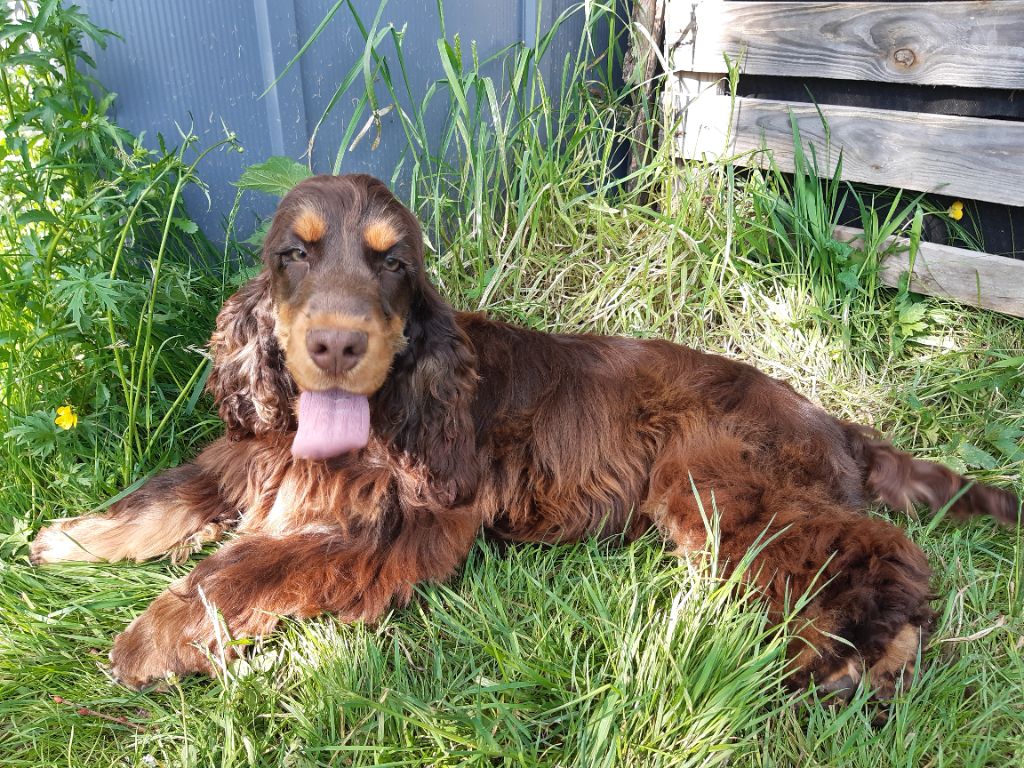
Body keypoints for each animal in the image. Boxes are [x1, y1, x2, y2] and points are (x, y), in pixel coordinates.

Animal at [28, 174, 1019, 696]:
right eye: (292, 254)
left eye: (394, 261)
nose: (336, 346)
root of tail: (826, 416)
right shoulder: (250, 454)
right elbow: (166, 494)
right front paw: (69, 536)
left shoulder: (393, 524)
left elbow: (239, 568)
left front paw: (149, 639)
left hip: (717, 481)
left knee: (891, 555)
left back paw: (855, 659)